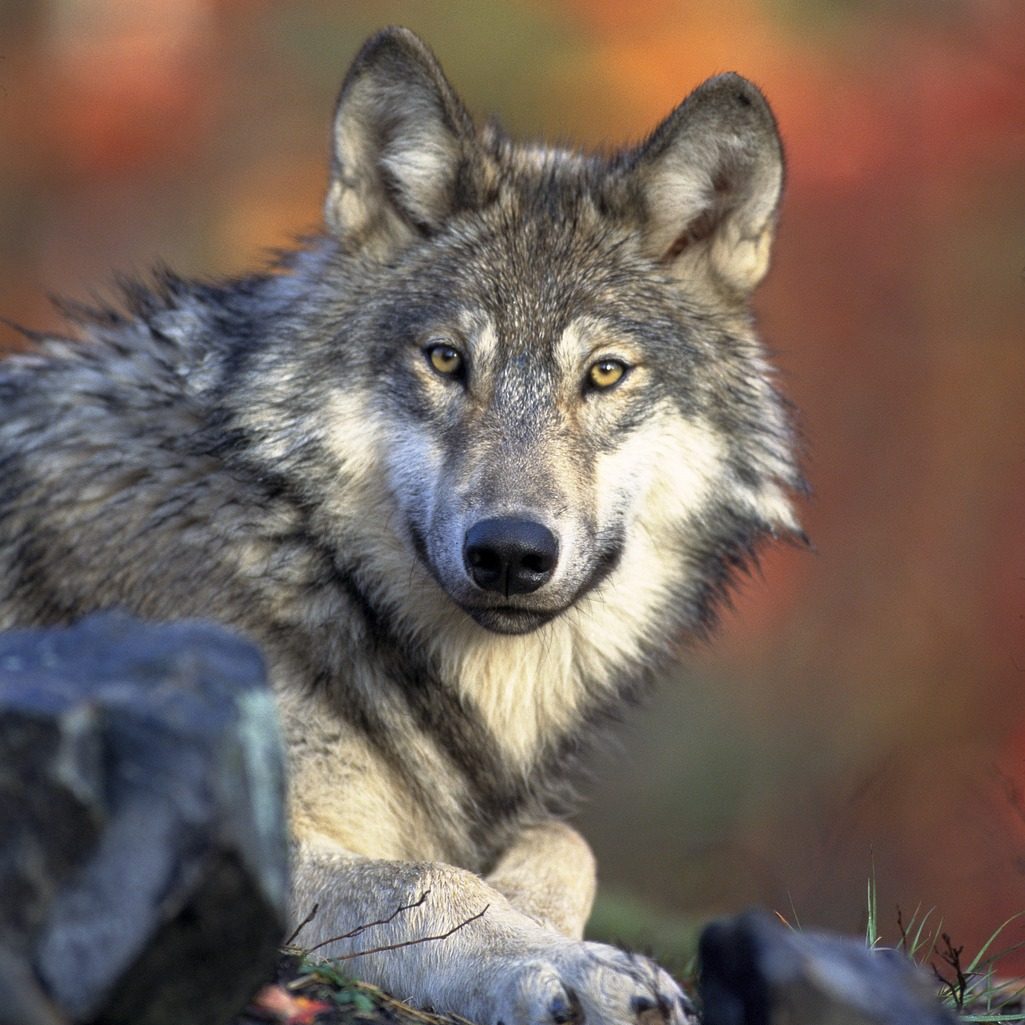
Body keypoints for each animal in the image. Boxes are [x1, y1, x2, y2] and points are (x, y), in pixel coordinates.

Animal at [0, 22, 799, 1025]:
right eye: (446, 360)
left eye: (605, 373)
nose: (509, 552)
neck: (300, 550)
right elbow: (430, 880)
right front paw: (563, 960)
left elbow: (564, 841)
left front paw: (538, 913)